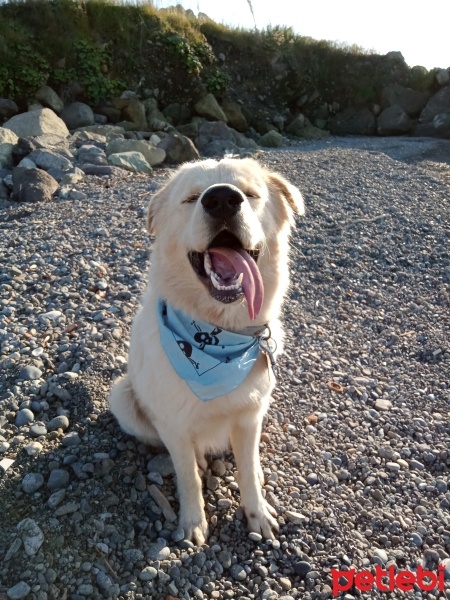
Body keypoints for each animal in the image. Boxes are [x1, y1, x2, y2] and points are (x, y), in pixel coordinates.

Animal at [109, 156, 304, 544]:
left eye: (249, 193)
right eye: (192, 198)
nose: (222, 200)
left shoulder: (250, 415)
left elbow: (247, 469)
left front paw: (256, 512)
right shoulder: (173, 422)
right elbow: (187, 476)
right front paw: (192, 523)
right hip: (121, 395)